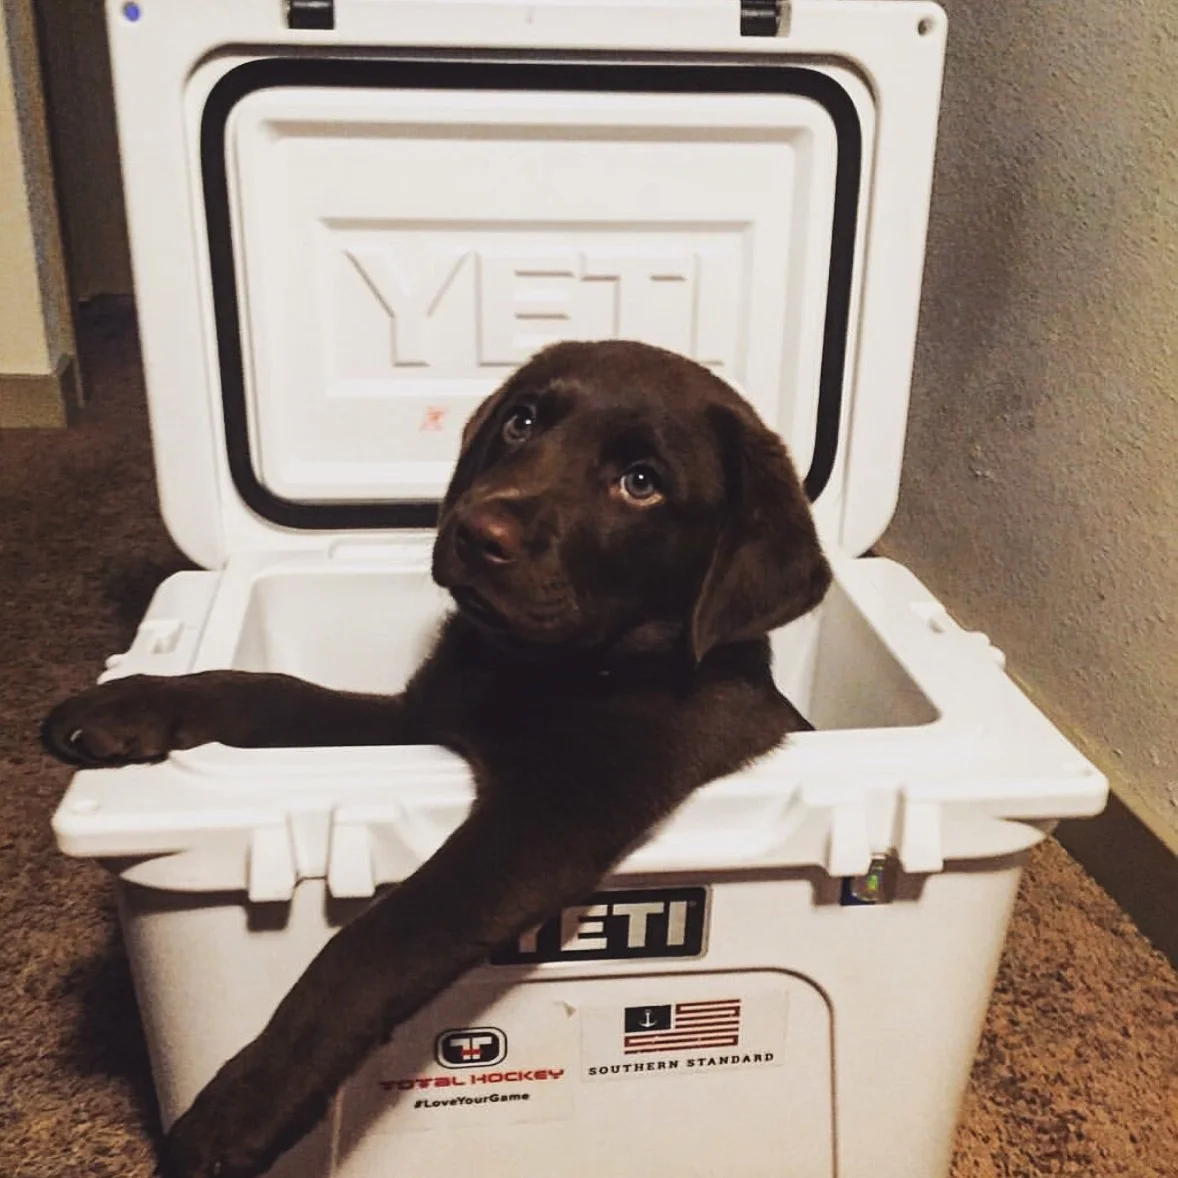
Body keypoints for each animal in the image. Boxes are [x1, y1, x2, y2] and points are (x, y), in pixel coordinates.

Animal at [42, 339, 832, 1178]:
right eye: (522, 422)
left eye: (641, 483)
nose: (478, 531)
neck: (541, 670)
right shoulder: (417, 719)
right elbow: (271, 692)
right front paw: (127, 706)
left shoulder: (548, 821)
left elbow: (377, 940)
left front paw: (245, 1104)